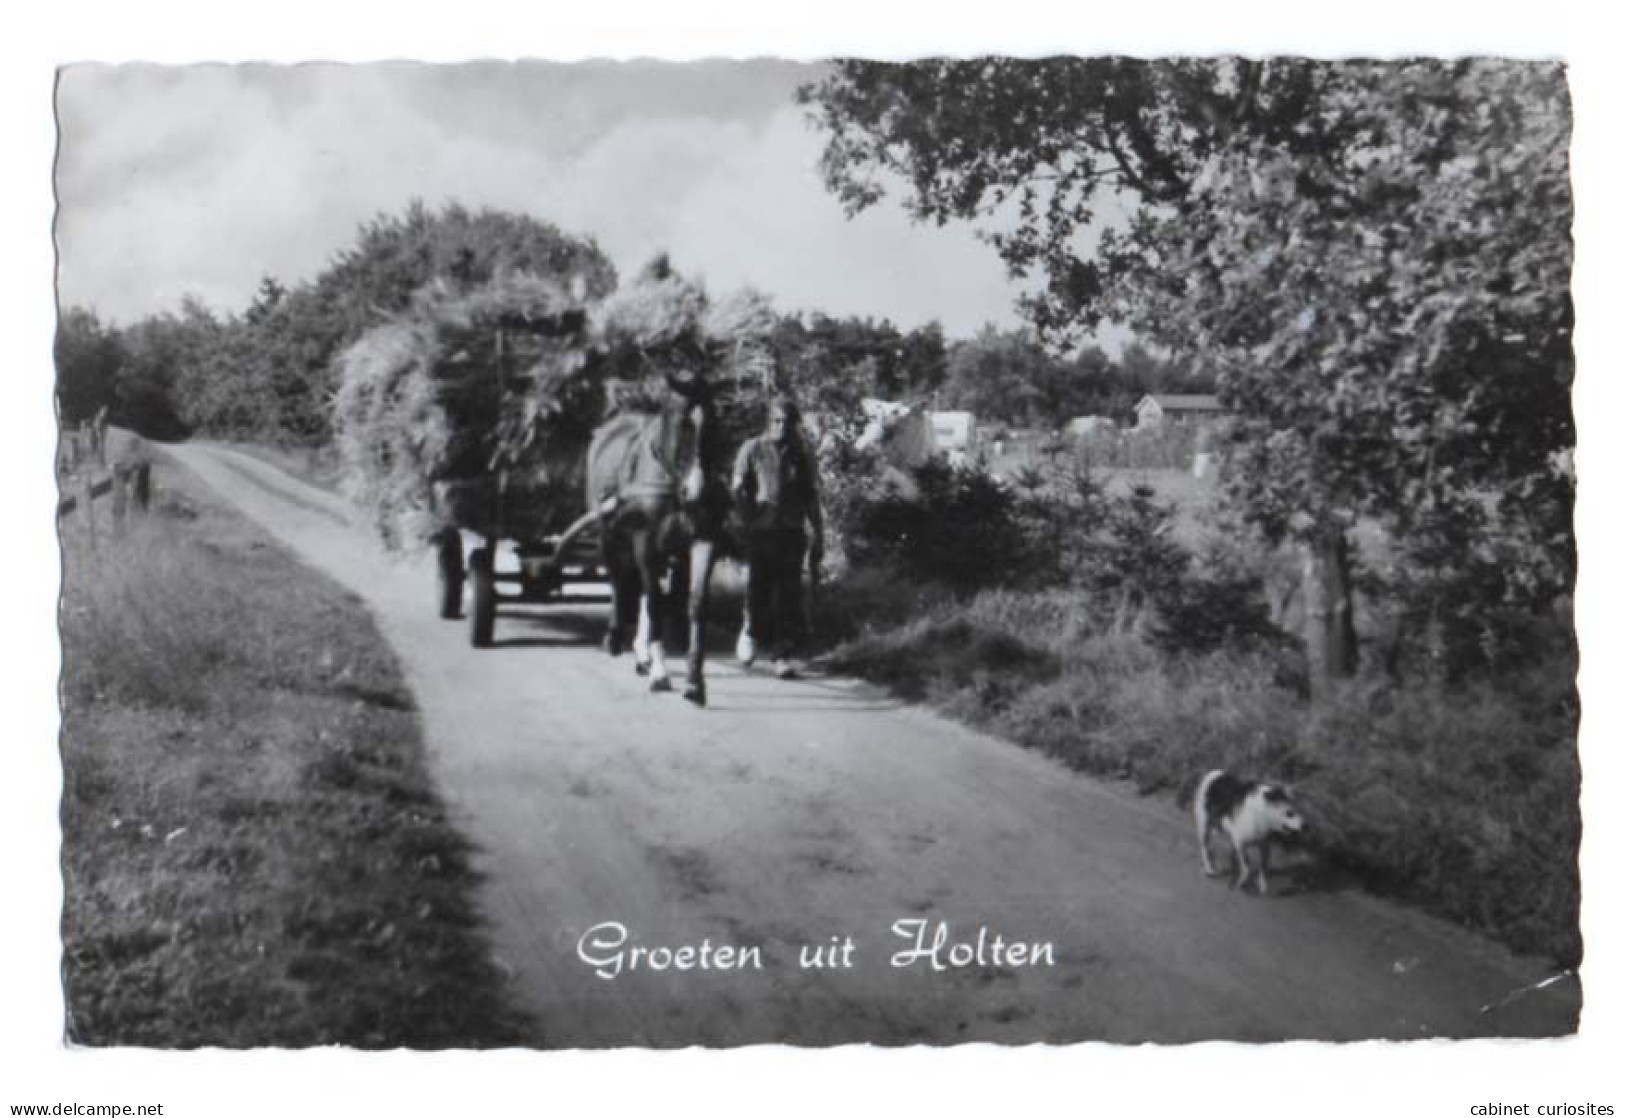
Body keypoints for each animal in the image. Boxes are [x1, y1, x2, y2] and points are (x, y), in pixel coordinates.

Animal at [585, 375, 724, 708]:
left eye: (715, 422)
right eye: (682, 423)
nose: (697, 491)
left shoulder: (702, 541)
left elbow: (695, 603)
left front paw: (694, 683)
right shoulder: (645, 543)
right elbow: (654, 604)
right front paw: (661, 673)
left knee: (642, 591)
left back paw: (642, 655)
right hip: (610, 536)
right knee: (620, 581)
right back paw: (615, 638)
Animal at [1196, 767, 1306, 897]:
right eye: (1290, 813)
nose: (1305, 826)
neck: (1262, 812)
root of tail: (1214, 774)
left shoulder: (1264, 846)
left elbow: (1262, 867)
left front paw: (1262, 885)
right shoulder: (1240, 843)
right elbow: (1247, 867)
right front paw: (1242, 882)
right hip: (1204, 825)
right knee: (1204, 846)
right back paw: (1210, 869)